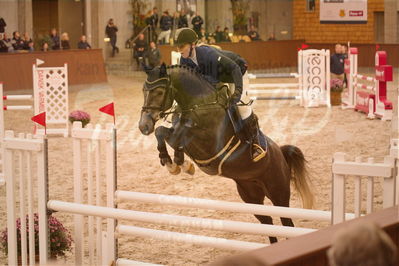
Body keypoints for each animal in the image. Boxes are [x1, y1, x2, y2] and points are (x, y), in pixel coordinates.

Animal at [139, 62, 314, 243]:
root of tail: (281, 154)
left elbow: (177, 136)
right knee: (267, 222)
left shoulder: (208, 142)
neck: (199, 104)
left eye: (159, 92)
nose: (143, 126)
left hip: (278, 194)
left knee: (287, 223)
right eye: (143, 90)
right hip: (251, 196)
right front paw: (173, 161)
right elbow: (162, 132)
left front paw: (179, 162)